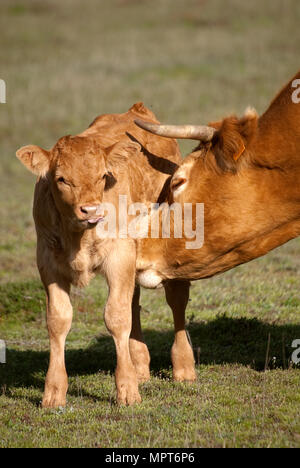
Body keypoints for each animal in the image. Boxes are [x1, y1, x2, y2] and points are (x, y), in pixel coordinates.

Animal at [16, 101, 196, 406]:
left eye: (102, 176)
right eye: (61, 179)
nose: (91, 210)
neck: (78, 236)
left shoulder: (118, 257)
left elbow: (116, 317)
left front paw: (127, 390)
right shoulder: (48, 263)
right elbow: (58, 320)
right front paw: (53, 392)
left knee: (176, 301)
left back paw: (184, 367)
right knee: (134, 301)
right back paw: (140, 366)